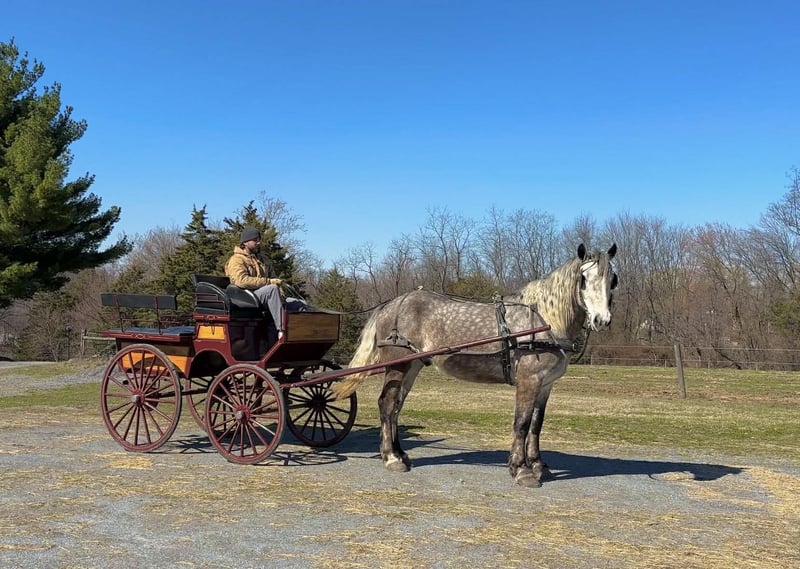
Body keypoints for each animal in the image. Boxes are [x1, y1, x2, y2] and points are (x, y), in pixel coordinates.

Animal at [332, 243, 618, 487]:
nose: (601, 320)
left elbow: (536, 425)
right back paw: (391, 458)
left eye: (612, 280)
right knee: (387, 404)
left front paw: (538, 465)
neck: (543, 321)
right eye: (583, 279)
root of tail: (391, 303)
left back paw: (400, 454)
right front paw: (521, 470)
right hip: (397, 366)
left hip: (412, 366)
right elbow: (522, 423)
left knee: (395, 407)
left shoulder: (545, 385)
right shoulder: (529, 380)